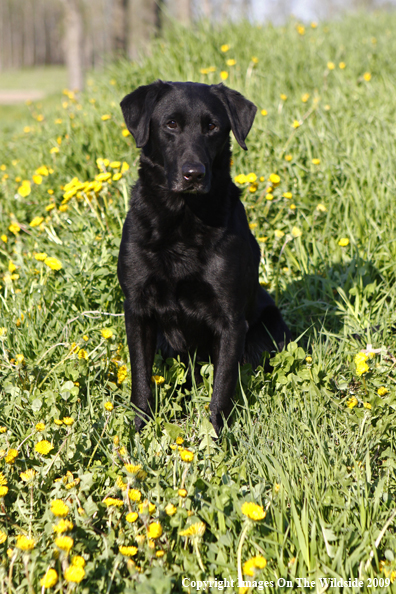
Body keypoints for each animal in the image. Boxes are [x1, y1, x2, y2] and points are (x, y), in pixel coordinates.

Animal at [117, 80, 290, 434]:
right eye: (170, 124)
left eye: (212, 127)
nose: (193, 174)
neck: (183, 219)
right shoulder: (137, 311)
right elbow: (141, 379)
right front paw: (139, 432)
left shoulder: (231, 320)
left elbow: (221, 388)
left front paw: (217, 438)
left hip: (269, 331)